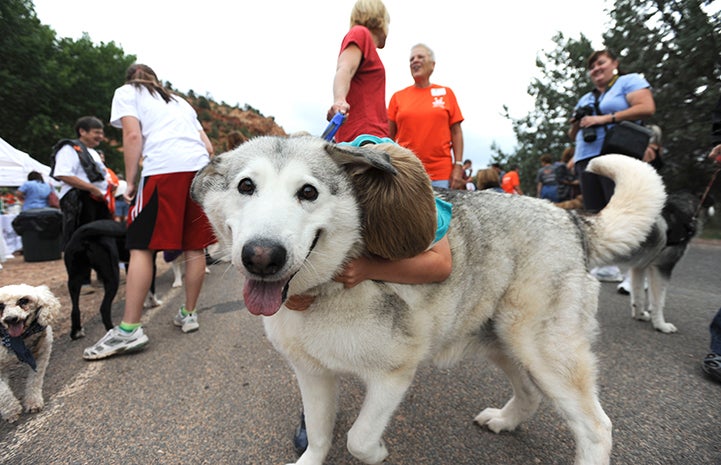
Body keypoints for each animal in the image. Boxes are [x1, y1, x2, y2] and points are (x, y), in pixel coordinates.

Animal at [0, 282, 60, 420]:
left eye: (23, 301)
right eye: (0, 306)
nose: (10, 319)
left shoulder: (41, 354)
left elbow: (35, 380)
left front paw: (33, 402)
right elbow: (3, 392)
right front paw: (11, 410)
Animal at [190, 136, 664, 464]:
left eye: (308, 192)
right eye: (246, 186)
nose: (261, 256)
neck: (325, 289)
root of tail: (573, 219)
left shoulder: (393, 375)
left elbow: (358, 439)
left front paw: (378, 453)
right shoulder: (313, 374)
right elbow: (321, 437)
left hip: (542, 350)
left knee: (596, 427)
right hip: (505, 343)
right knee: (530, 394)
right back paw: (504, 420)